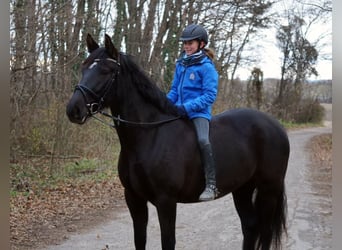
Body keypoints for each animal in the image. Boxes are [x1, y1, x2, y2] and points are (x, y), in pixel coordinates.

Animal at [66, 33, 288, 250]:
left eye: (105, 71)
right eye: (84, 66)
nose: (73, 110)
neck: (149, 136)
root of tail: (276, 125)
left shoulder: (166, 201)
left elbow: (168, 242)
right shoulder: (134, 198)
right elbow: (140, 240)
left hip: (269, 189)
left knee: (265, 232)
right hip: (242, 188)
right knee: (250, 226)